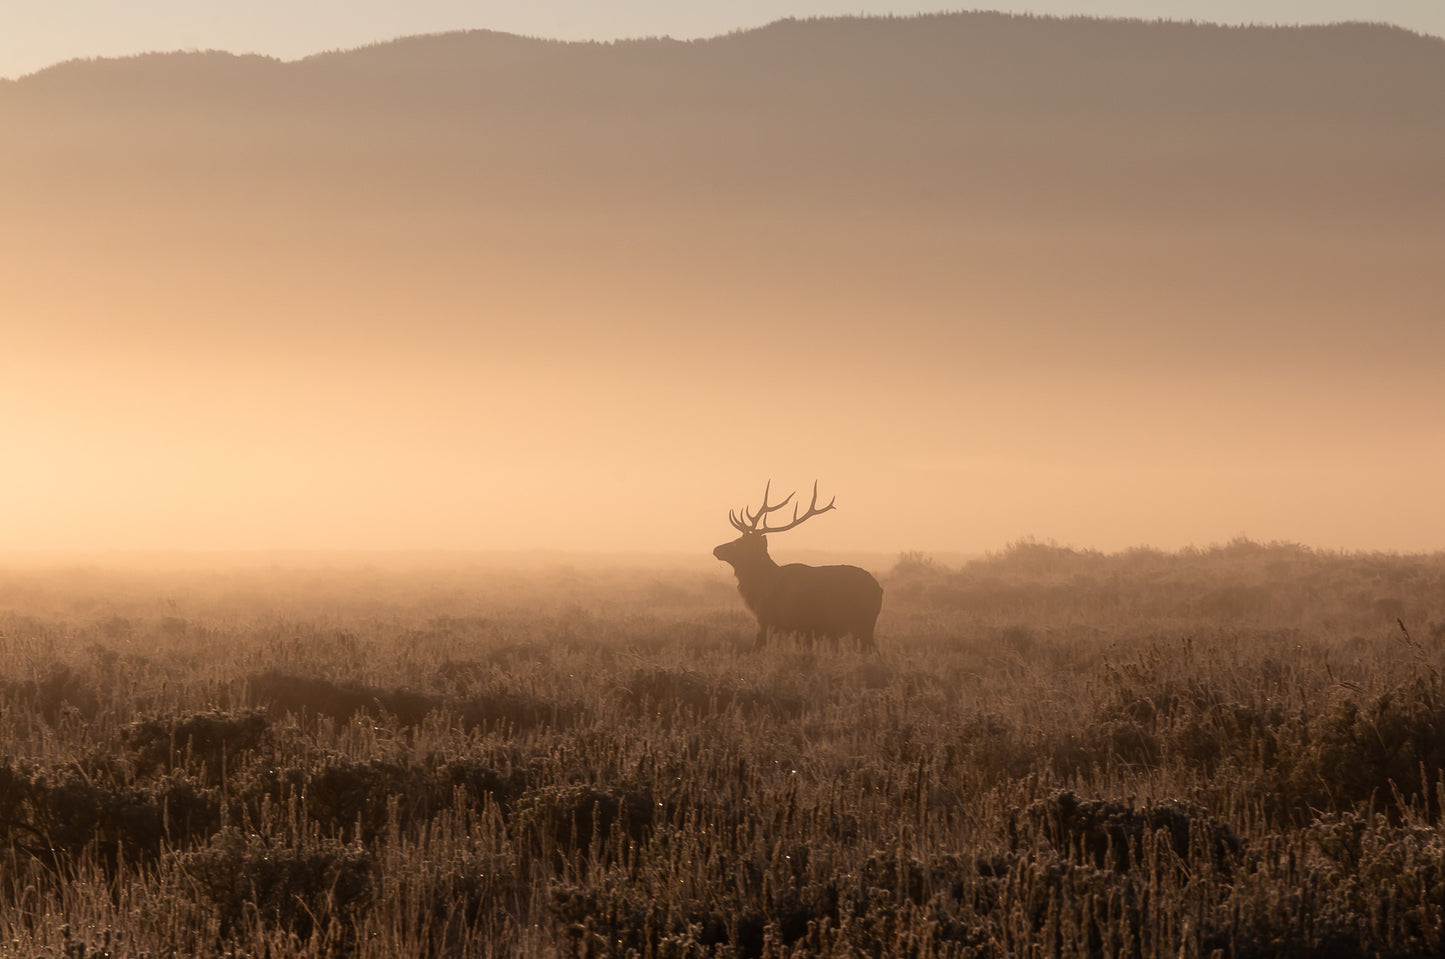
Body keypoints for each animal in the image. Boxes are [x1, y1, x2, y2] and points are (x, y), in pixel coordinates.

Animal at [710, 479, 878, 652]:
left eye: (739, 542)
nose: (717, 549)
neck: (760, 589)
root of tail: (879, 588)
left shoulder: (774, 621)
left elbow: (757, 647)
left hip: (863, 624)